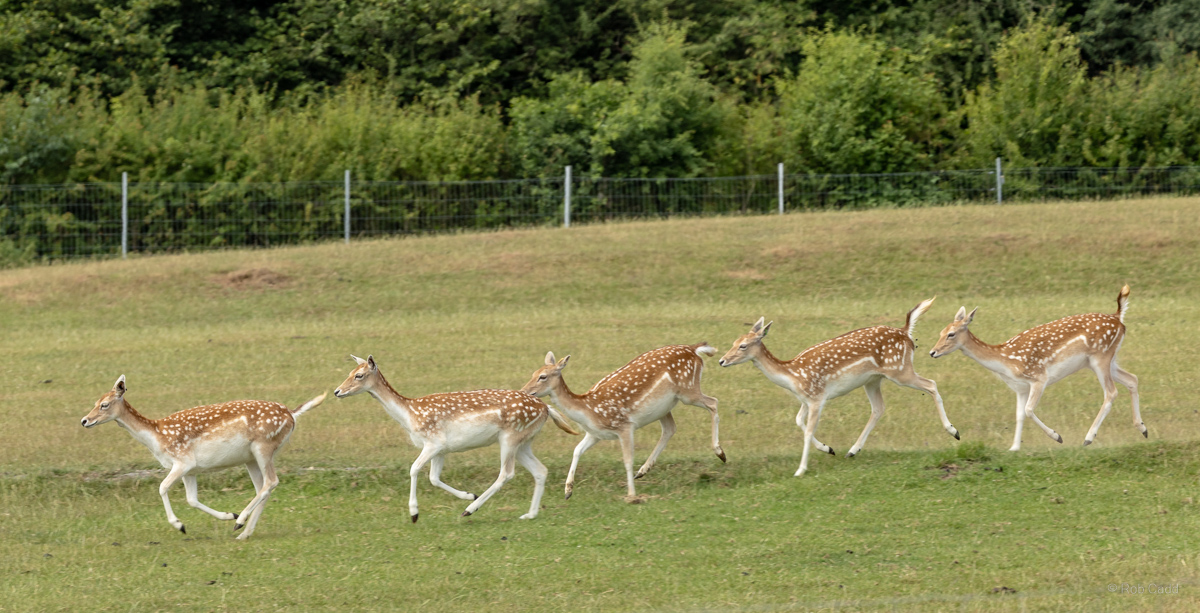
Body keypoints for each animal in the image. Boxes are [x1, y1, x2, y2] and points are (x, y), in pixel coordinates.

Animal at [80, 375, 326, 539]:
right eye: (95, 402)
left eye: (104, 404)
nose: (84, 420)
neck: (157, 437)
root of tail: (291, 414)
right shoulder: (191, 470)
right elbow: (192, 499)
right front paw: (227, 514)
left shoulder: (182, 460)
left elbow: (162, 487)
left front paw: (179, 525)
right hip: (251, 458)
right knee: (263, 487)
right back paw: (243, 532)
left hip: (264, 445)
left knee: (271, 482)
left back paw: (241, 522)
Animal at [332, 355, 578, 522]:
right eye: (349, 372)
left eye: (359, 375)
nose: (337, 391)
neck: (409, 415)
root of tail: (546, 408)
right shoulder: (441, 449)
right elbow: (433, 478)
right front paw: (468, 494)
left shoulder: (434, 442)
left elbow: (414, 469)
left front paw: (414, 513)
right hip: (523, 441)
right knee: (540, 470)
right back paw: (529, 514)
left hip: (511, 436)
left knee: (506, 473)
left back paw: (470, 511)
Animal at [519, 343, 724, 501]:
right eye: (533, 373)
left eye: (543, 376)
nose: (524, 391)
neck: (588, 409)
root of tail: (694, 349)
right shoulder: (595, 434)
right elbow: (576, 450)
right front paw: (568, 491)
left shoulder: (624, 425)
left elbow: (627, 459)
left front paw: (631, 495)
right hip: (664, 407)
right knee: (670, 428)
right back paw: (643, 470)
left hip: (687, 391)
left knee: (713, 402)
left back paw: (720, 452)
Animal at [718, 299, 960, 477]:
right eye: (733, 341)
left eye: (743, 346)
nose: (721, 360)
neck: (792, 375)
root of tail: (905, 332)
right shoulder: (806, 399)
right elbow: (798, 421)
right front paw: (828, 448)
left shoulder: (817, 397)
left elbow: (808, 430)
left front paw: (800, 469)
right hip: (873, 379)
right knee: (879, 408)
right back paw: (852, 451)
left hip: (899, 370)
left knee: (931, 384)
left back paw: (954, 431)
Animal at [929, 285, 1144, 450]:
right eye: (940, 332)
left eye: (951, 334)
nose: (932, 352)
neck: (1005, 360)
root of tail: (1118, 318)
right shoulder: (1020, 387)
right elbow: (1019, 416)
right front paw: (1014, 448)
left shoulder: (1039, 377)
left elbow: (1028, 410)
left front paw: (1057, 436)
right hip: (1107, 360)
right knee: (1132, 378)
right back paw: (1143, 429)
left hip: (1100, 357)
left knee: (1111, 392)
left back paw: (1088, 438)